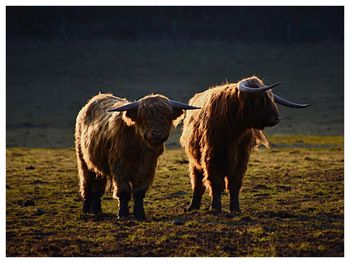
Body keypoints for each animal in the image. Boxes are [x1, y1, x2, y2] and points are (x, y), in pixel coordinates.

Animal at [75, 93, 198, 221]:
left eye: (166, 116)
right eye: (144, 117)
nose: (157, 134)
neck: (138, 148)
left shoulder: (147, 169)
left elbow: (139, 192)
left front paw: (139, 214)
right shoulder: (119, 169)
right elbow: (123, 191)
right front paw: (122, 214)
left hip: (97, 164)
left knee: (97, 187)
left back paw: (97, 210)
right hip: (83, 160)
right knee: (86, 184)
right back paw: (86, 209)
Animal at [180, 76, 308, 214]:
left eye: (271, 98)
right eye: (261, 99)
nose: (276, 118)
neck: (234, 132)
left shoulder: (242, 158)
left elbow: (235, 184)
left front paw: (236, 209)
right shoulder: (212, 157)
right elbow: (216, 183)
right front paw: (215, 208)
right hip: (194, 161)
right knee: (197, 183)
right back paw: (192, 207)